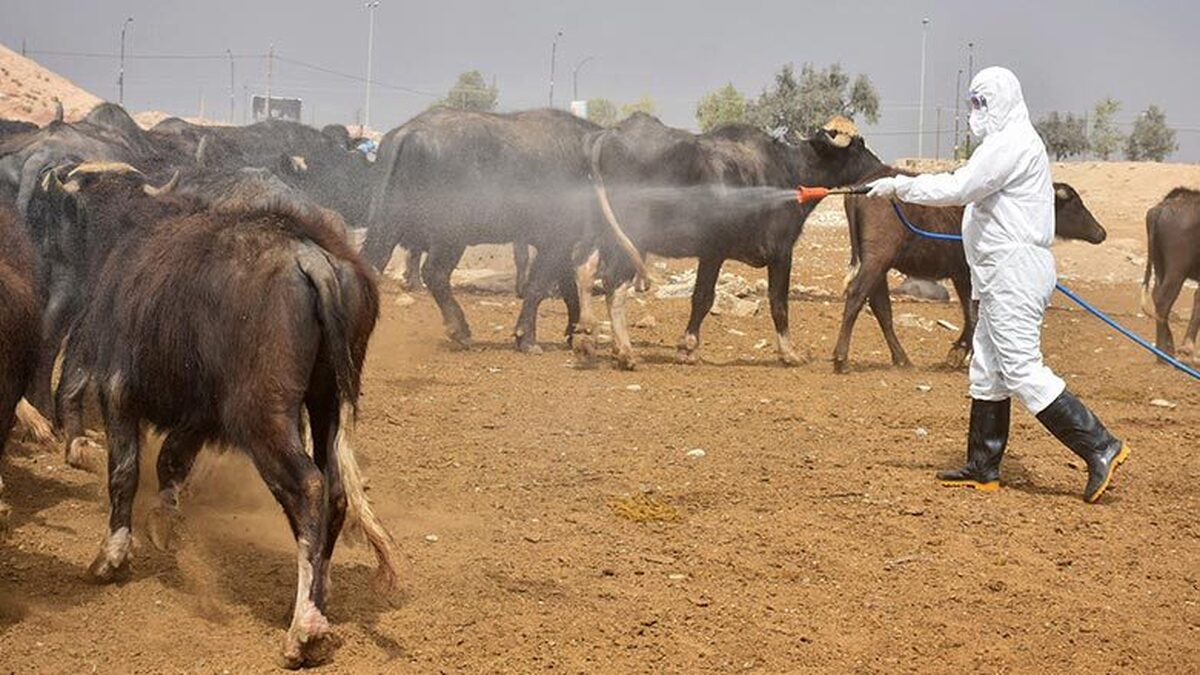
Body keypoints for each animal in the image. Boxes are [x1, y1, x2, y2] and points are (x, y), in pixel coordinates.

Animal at [355, 106, 600, 348]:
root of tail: (409, 131)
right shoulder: (556, 240)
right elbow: (538, 286)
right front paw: (527, 338)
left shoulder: (563, 245)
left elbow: (568, 288)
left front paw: (572, 333)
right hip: (451, 234)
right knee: (435, 274)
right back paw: (460, 331)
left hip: (387, 222)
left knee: (372, 263)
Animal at [576, 114, 888, 367]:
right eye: (858, 145)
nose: (881, 167)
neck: (788, 171)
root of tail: (609, 135)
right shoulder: (773, 252)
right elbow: (770, 302)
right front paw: (789, 353)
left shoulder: (711, 254)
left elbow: (701, 299)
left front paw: (687, 349)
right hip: (630, 239)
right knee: (614, 285)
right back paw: (624, 353)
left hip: (603, 234)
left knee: (585, 270)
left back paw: (587, 338)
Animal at [835, 168, 1104, 369]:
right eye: (1076, 204)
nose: (1101, 232)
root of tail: (860, 189)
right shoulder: (972, 273)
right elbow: (975, 313)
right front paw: (964, 354)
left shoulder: (961, 275)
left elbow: (969, 313)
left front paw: (958, 352)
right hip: (876, 259)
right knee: (857, 295)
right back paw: (841, 358)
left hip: (878, 265)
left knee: (881, 308)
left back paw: (902, 360)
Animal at [1142, 186, 1200, 360]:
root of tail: (1159, 209)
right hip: (1176, 269)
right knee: (1163, 300)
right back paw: (1164, 354)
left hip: (1160, 265)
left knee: (1156, 296)